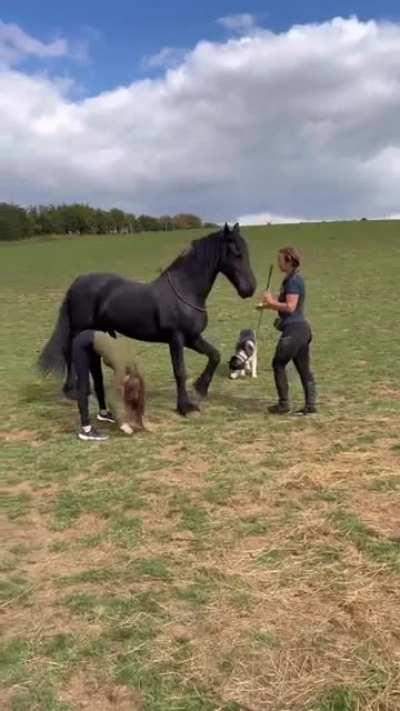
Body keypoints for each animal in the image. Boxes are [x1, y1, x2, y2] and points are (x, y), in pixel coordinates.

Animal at [38, 222, 256, 416]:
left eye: (246, 251)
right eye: (235, 252)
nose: (249, 289)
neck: (185, 289)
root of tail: (78, 282)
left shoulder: (192, 338)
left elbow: (214, 355)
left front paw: (200, 387)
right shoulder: (176, 338)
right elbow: (180, 371)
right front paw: (185, 407)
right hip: (78, 329)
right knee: (69, 353)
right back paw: (72, 391)